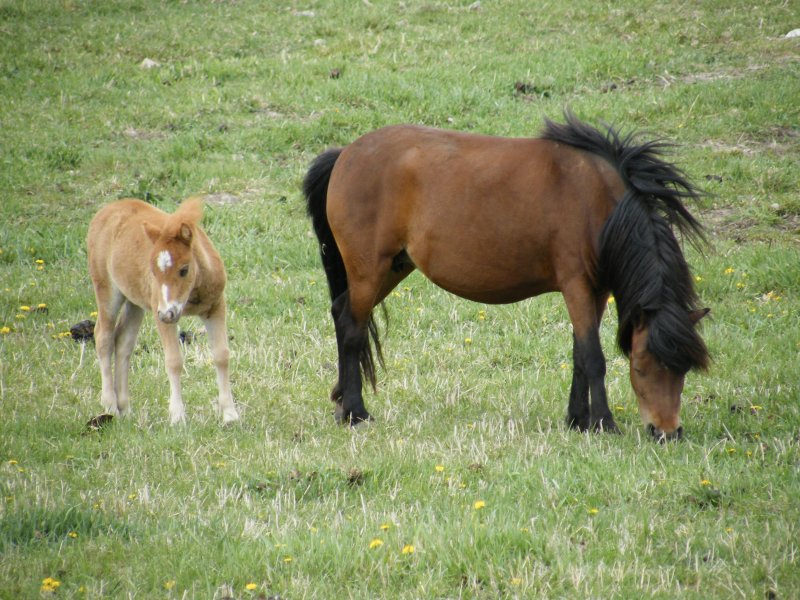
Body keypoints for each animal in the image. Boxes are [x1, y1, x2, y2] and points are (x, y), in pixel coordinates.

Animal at [88, 199, 239, 424]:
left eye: (184, 269)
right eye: (153, 271)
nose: (168, 313)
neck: (192, 294)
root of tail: (106, 210)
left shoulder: (215, 307)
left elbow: (221, 355)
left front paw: (230, 415)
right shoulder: (161, 315)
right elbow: (173, 361)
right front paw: (177, 417)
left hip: (135, 302)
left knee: (123, 342)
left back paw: (125, 409)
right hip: (107, 290)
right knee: (103, 337)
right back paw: (110, 406)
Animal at [304, 112, 708, 440]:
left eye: (684, 370)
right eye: (640, 367)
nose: (667, 432)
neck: (595, 197)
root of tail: (345, 153)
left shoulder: (596, 291)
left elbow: (580, 353)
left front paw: (577, 420)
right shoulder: (576, 285)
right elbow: (594, 357)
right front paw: (604, 423)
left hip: (392, 269)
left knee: (342, 314)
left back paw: (341, 402)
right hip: (370, 270)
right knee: (353, 329)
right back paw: (355, 413)